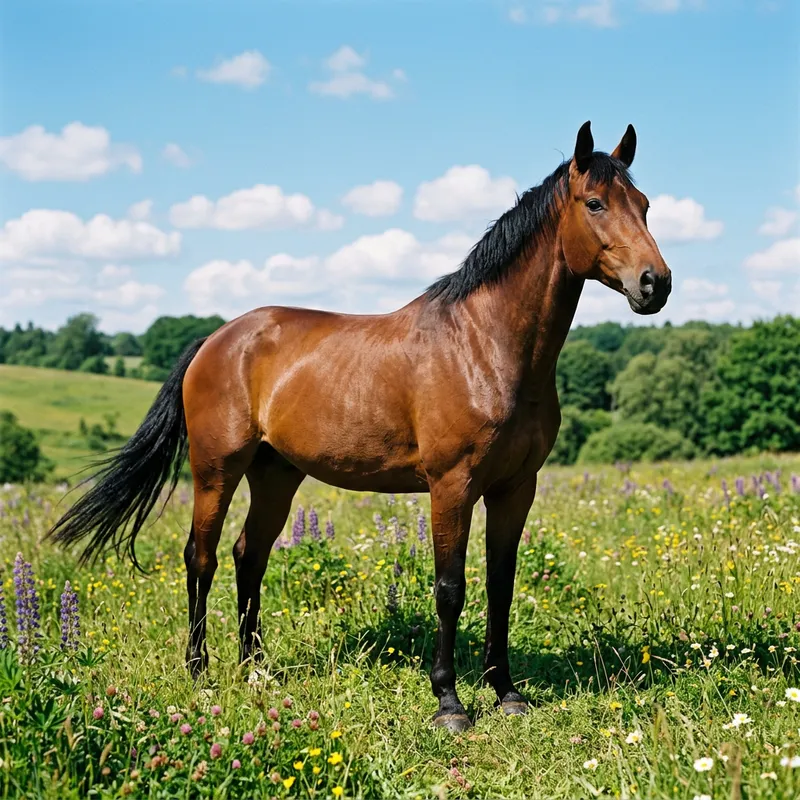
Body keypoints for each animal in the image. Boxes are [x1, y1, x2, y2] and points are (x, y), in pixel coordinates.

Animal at [48, 121, 671, 733]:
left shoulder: (516, 488)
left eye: (643, 205)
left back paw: (256, 670)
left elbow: (502, 585)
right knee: (201, 557)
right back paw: (199, 671)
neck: (484, 345)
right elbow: (450, 588)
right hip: (215, 470)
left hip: (275, 475)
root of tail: (217, 339)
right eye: (595, 203)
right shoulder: (451, 487)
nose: (655, 283)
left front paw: (506, 692)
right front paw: (449, 703)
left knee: (249, 555)